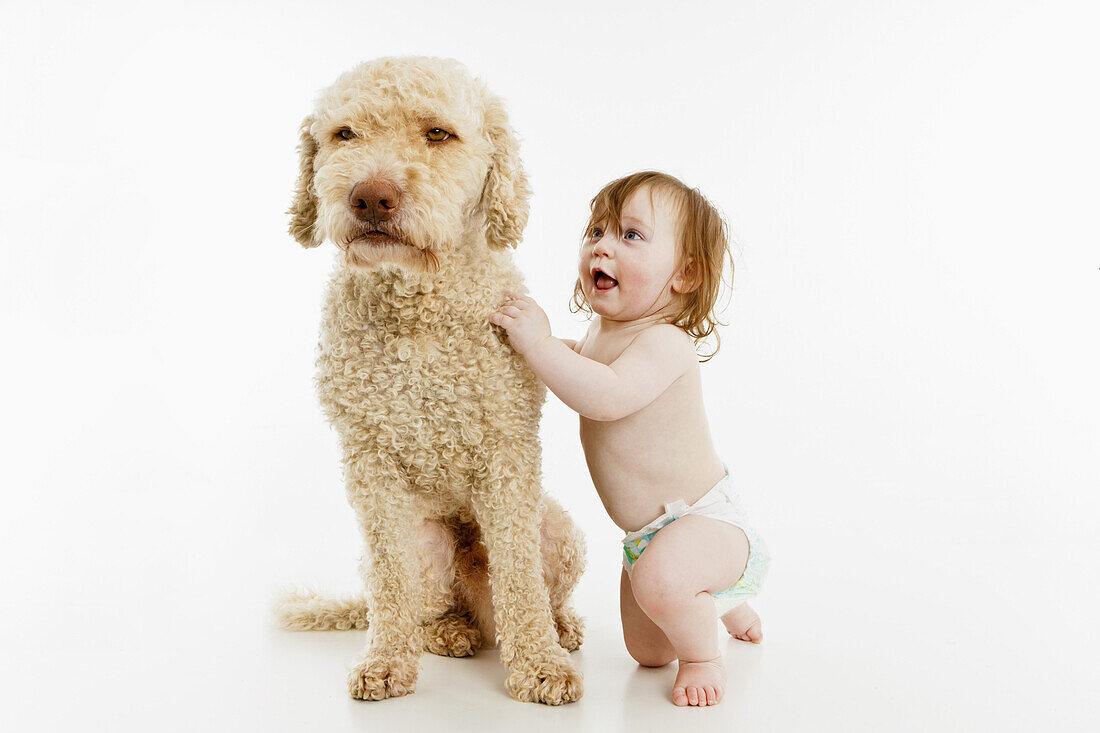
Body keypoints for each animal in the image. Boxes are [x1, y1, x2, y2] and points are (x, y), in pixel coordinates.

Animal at [279, 57, 589, 704]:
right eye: (344, 134)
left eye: (438, 134)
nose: (371, 197)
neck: (418, 310)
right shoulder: (370, 466)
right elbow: (392, 583)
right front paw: (385, 664)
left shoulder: (507, 457)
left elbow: (519, 576)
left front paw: (539, 665)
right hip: (423, 542)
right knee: (418, 604)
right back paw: (447, 633)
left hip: (557, 528)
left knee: (532, 585)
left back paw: (560, 625)